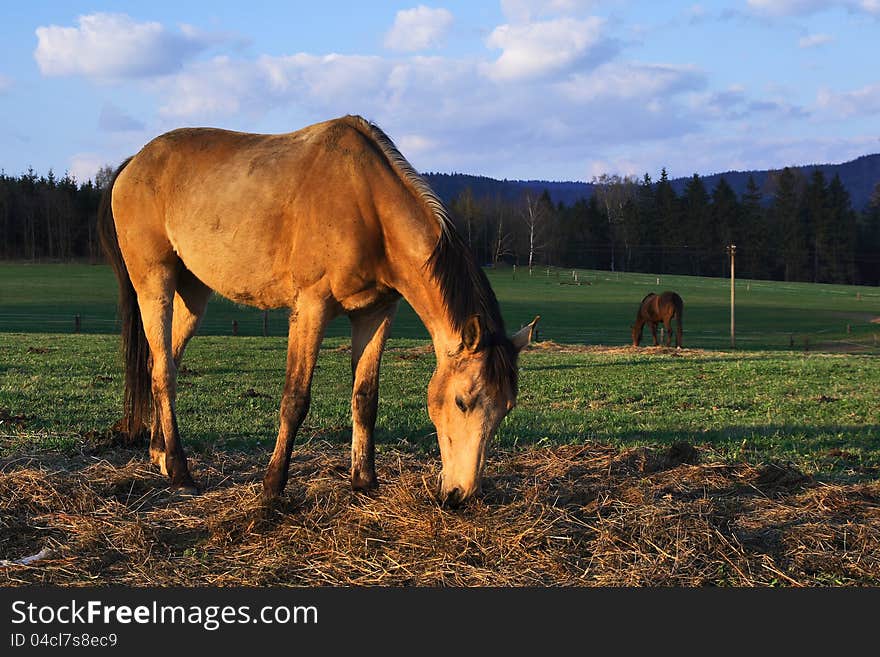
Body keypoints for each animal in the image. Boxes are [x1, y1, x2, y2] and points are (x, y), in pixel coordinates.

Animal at [96, 115, 536, 504]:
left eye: (506, 408)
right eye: (463, 402)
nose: (462, 495)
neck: (366, 203)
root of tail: (134, 163)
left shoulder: (376, 314)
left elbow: (365, 397)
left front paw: (364, 482)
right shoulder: (311, 308)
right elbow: (295, 399)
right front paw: (272, 488)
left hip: (192, 295)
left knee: (161, 363)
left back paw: (160, 456)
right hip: (155, 285)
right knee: (164, 374)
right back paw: (180, 472)